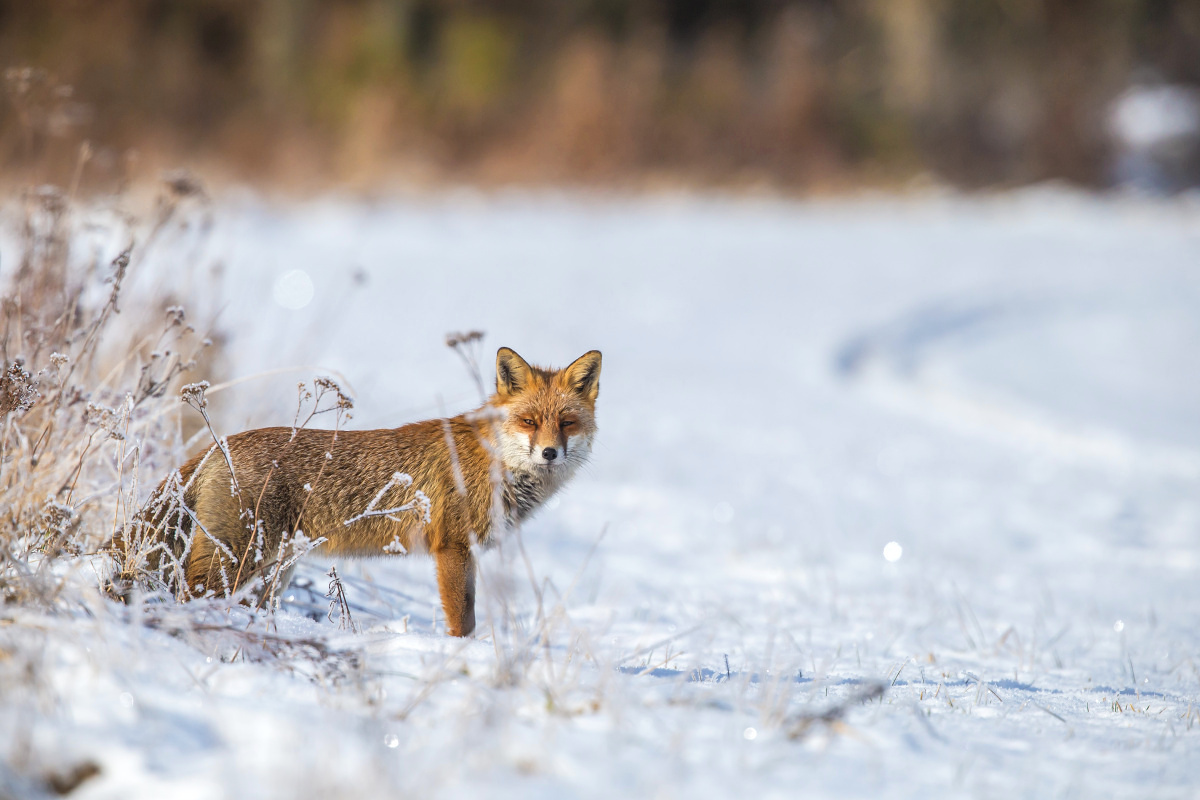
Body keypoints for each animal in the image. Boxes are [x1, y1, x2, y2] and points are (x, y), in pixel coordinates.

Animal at [119, 347, 600, 633]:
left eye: (567, 423)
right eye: (529, 421)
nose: (550, 453)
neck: (494, 461)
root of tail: (218, 445)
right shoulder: (452, 547)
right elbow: (463, 619)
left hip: (271, 569)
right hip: (234, 560)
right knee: (186, 595)